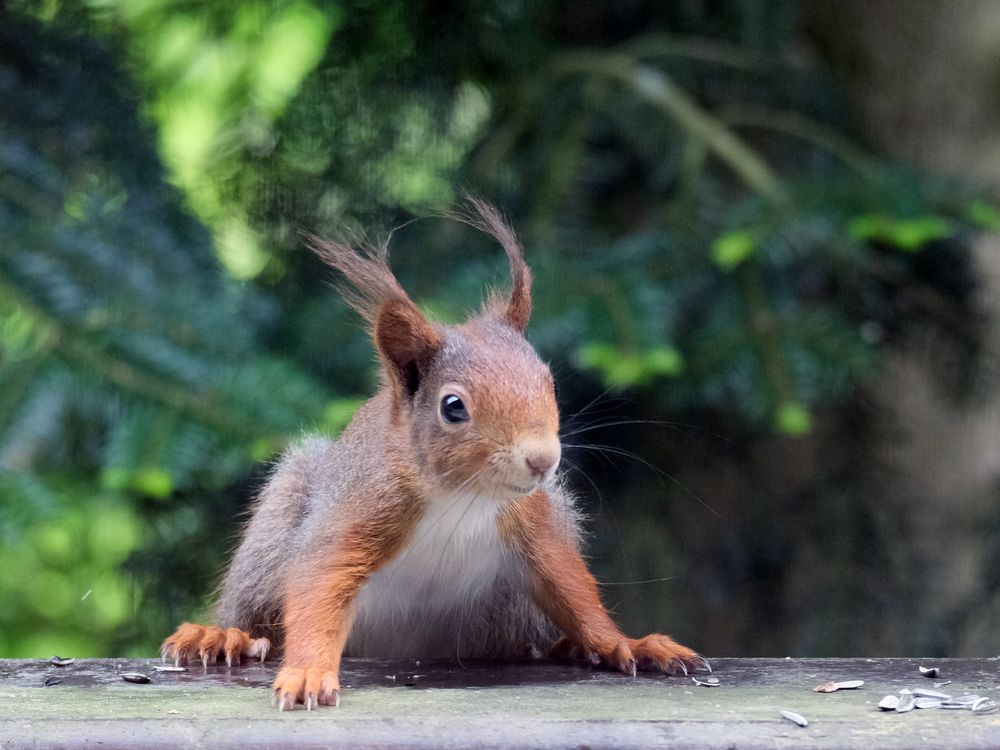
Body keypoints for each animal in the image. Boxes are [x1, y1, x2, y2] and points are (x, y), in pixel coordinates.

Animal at [160, 200, 708, 712]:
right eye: (453, 407)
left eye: (548, 381)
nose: (542, 460)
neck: (460, 499)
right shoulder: (360, 511)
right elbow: (319, 581)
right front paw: (308, 673)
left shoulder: (534, 522)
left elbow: (572, 589)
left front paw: (626, 644)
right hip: (278, 520)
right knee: (259, 623)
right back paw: (222, 636)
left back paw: (567, 647)